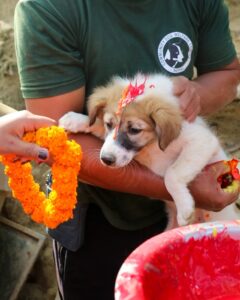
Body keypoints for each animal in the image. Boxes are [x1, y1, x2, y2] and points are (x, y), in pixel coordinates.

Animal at [59, 74, 239, 226]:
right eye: (109, 124)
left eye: (134, 130)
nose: (106, 159)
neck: (151, 146)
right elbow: (96, 124)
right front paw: (75, 120)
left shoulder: (201, 140)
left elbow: (172, 174)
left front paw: (185, 208)